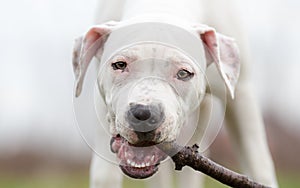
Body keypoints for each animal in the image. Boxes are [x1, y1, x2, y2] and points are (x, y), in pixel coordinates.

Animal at [71, 0, 278, 187]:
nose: (144, 114)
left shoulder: (242, 96)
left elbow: (260, 166)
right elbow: (105, 175)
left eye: (184, 73)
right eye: (119, 65)